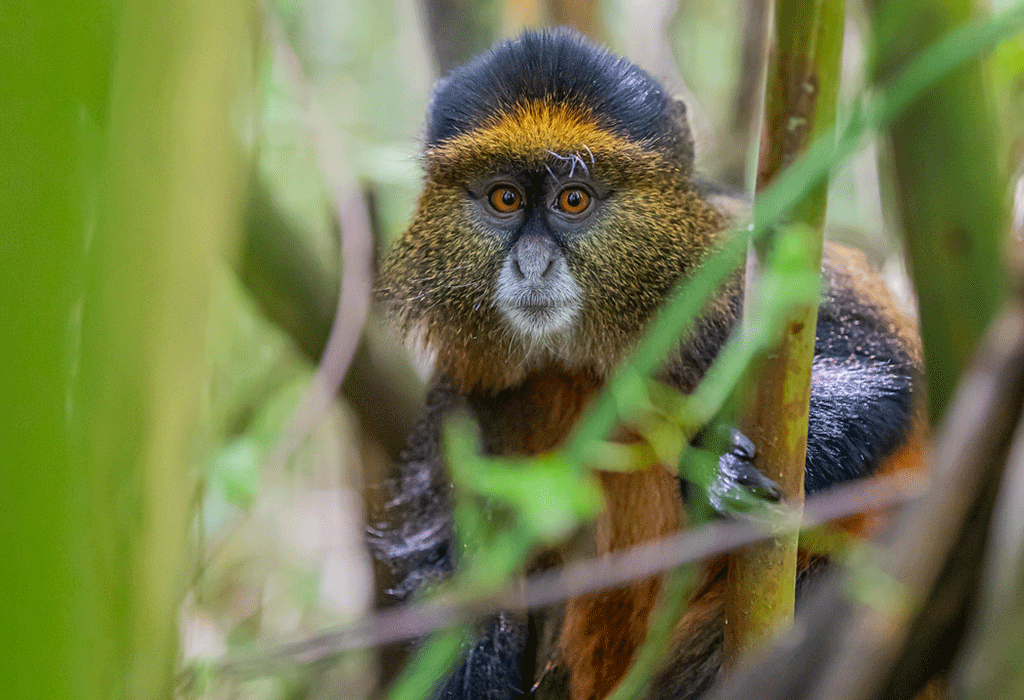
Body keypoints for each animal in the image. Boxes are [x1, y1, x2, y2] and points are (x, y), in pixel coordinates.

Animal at [370, 28, 924, 700]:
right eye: (505, 198)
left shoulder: (738, 268)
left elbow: (884, 375)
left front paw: (718, 477)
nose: (532, 264)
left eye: (573, 199)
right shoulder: (463, 394)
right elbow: (456, 579)